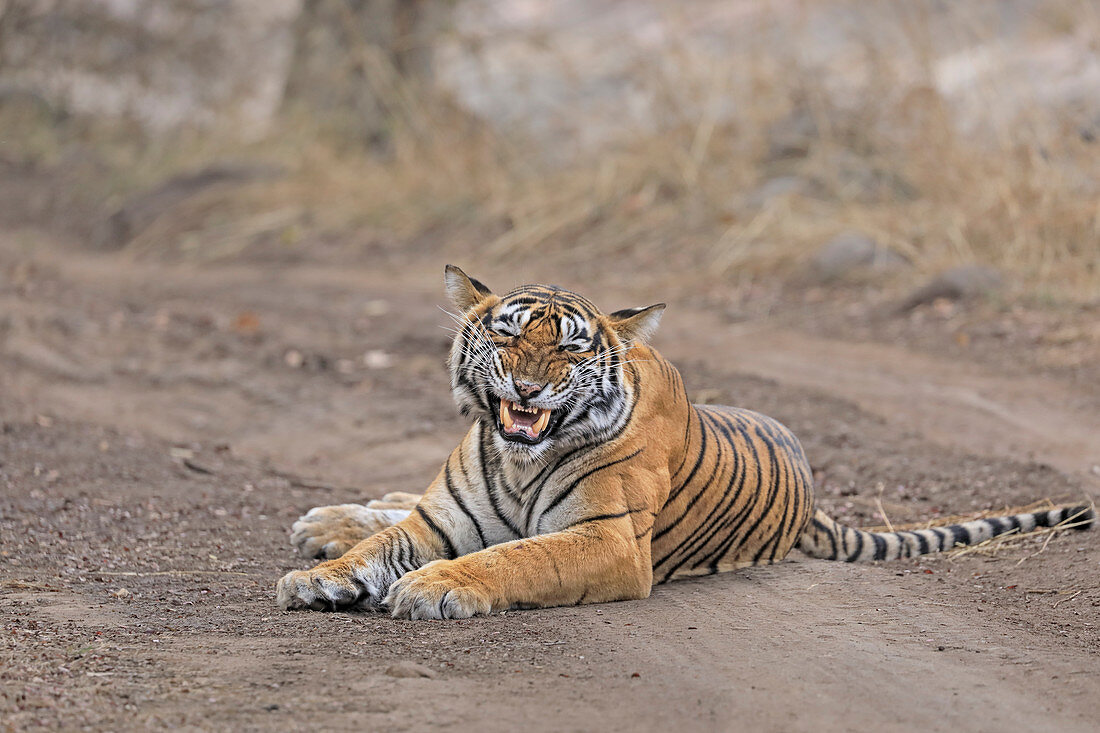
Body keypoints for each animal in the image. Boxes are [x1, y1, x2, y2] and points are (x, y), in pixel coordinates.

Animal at [272, 265, 1091, 611]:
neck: (517, 459)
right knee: (390, 502)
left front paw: (435, 586)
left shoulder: (608, 540)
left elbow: (515, 556)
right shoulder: (440, 517)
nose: (528, 389)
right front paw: (321, 574)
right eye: (507, 335)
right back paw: (325, 523)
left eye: (568, 347)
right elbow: (386, 543)